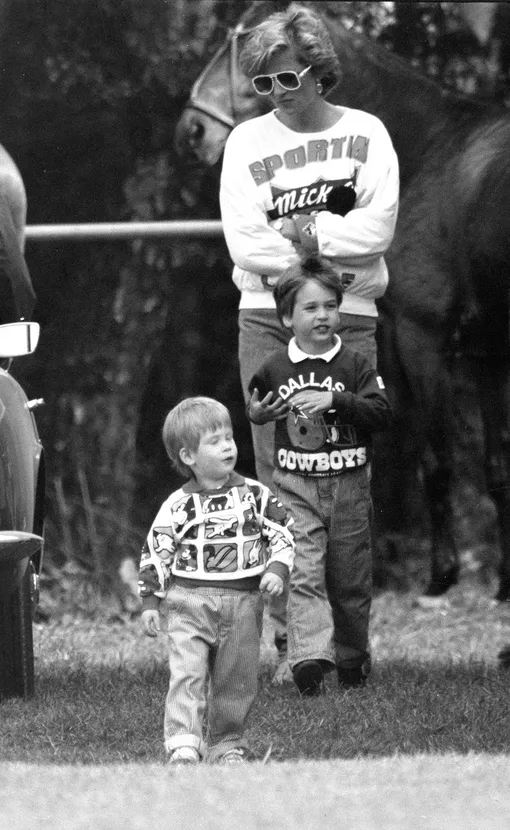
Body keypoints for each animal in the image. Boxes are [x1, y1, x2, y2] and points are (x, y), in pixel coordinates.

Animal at [174, 0, 510, 600]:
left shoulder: (422, 338)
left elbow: (437, 461)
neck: (434, 149)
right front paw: (505, 583)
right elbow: (497, 469)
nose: (191, 130)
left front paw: (442, 575)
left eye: (240, 43)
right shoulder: (486, 351)